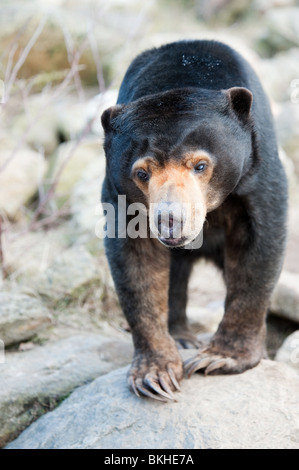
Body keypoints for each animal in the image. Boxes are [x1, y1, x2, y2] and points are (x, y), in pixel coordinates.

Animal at [101, 39, 288, 400]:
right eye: (141, 172)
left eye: (200, 165)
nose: (170, 220)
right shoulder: (120, 195)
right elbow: (136, 265)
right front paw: (154, 374)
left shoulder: (256, 172)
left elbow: (258, 249)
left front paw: (220, 358)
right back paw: (181, 336)